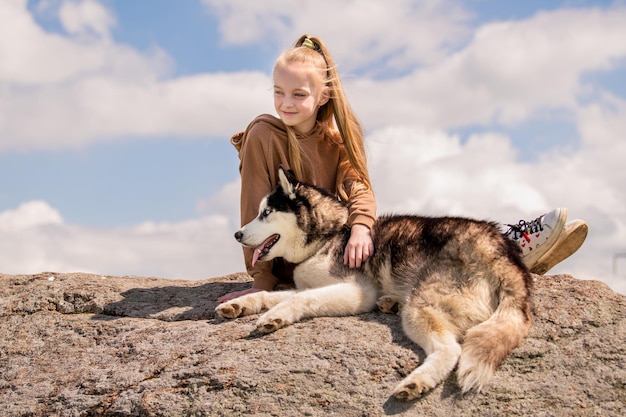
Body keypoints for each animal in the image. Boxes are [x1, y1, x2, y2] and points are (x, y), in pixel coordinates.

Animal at [216, 167, 532, 400]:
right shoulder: (309, 284)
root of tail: (502, 251)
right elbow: (271, 294)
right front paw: (240, 304)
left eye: (266, 213)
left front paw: (276, 316)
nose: (236, 234)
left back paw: (417, 381)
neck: (330, 234)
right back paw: (391, 303)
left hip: (422, 307)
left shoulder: (358, 291)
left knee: (449, 350)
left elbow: (297, 299)